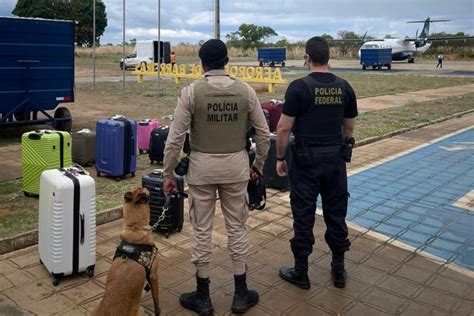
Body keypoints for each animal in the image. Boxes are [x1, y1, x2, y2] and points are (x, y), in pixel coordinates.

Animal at [92, 188, 161, 316]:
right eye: (144, 189)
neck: (135, 227)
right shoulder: (153, 275)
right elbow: (156, 303)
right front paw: (158, 311)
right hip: (141, 309)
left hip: (97, 302)